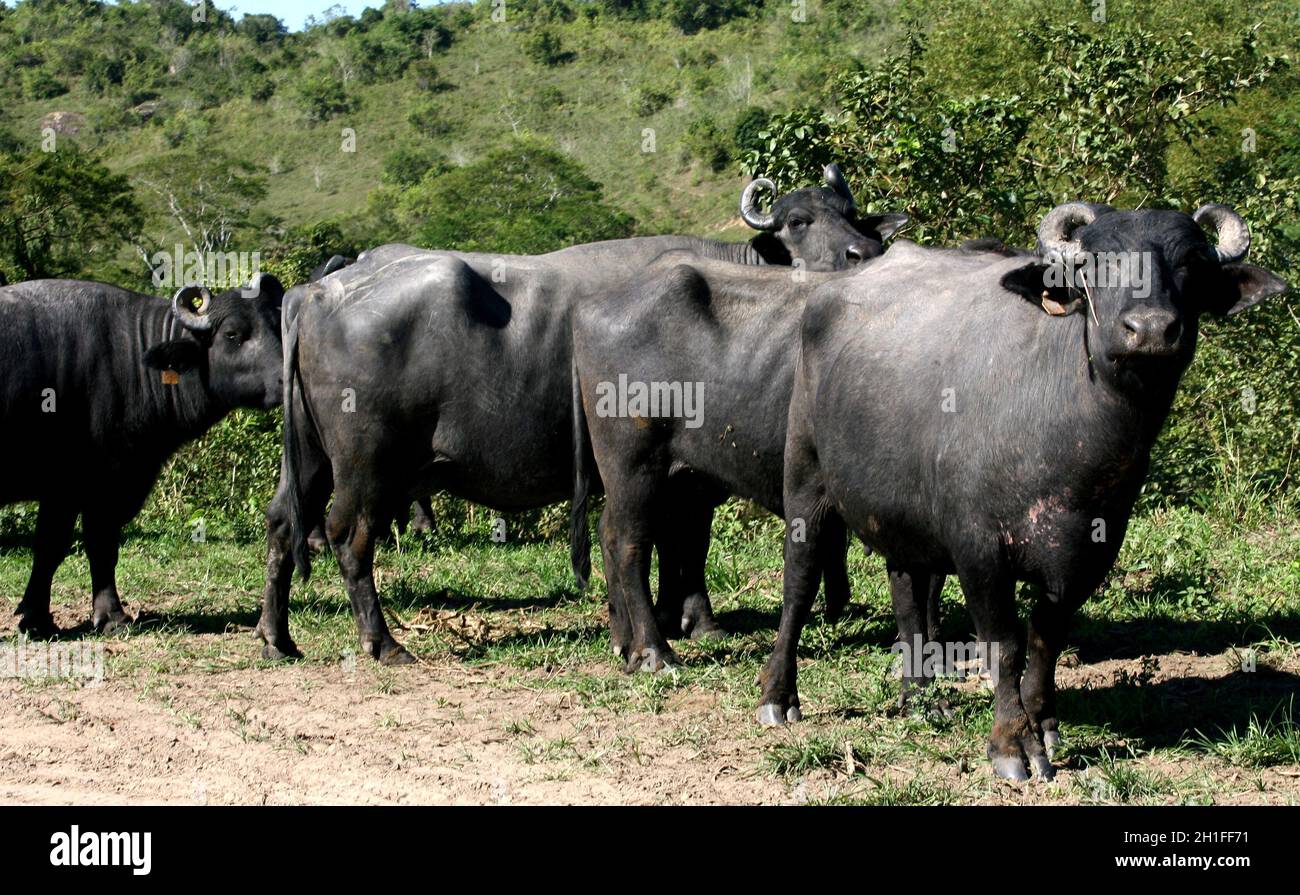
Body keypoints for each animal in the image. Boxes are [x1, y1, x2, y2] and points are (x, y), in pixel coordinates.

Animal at [0, 275, 284, 632]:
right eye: (232, 334)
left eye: (277, 326)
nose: (285, 376)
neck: (133, 361)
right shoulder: (77, 487)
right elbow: (75, 545)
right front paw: (101, 616)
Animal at [253, 167, 904, 660]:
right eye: (798, 221)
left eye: (850, 213)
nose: (866, 252)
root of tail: (318, 291)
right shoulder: (688, 475)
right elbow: (687, 543)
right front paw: (694, 622)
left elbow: (671, 545)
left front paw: (660, 621)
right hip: (368, 464)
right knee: (348, 536)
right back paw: (383, 643)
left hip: (309, 456)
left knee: (283, 521)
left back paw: (278, 637)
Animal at [759, 199, 1284, 780]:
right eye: (1095, 264)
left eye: (1191, 263)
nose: (1149, 329)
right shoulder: (980, 552)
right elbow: (1005, 645)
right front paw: (1012, 745)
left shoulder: (1089, 554)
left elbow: (1046, 639)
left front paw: (1045, 727)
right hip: (805, 478)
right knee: (799, 584)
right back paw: (779, 696)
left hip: (903, 517)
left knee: (906, 596)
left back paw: (920, 699)